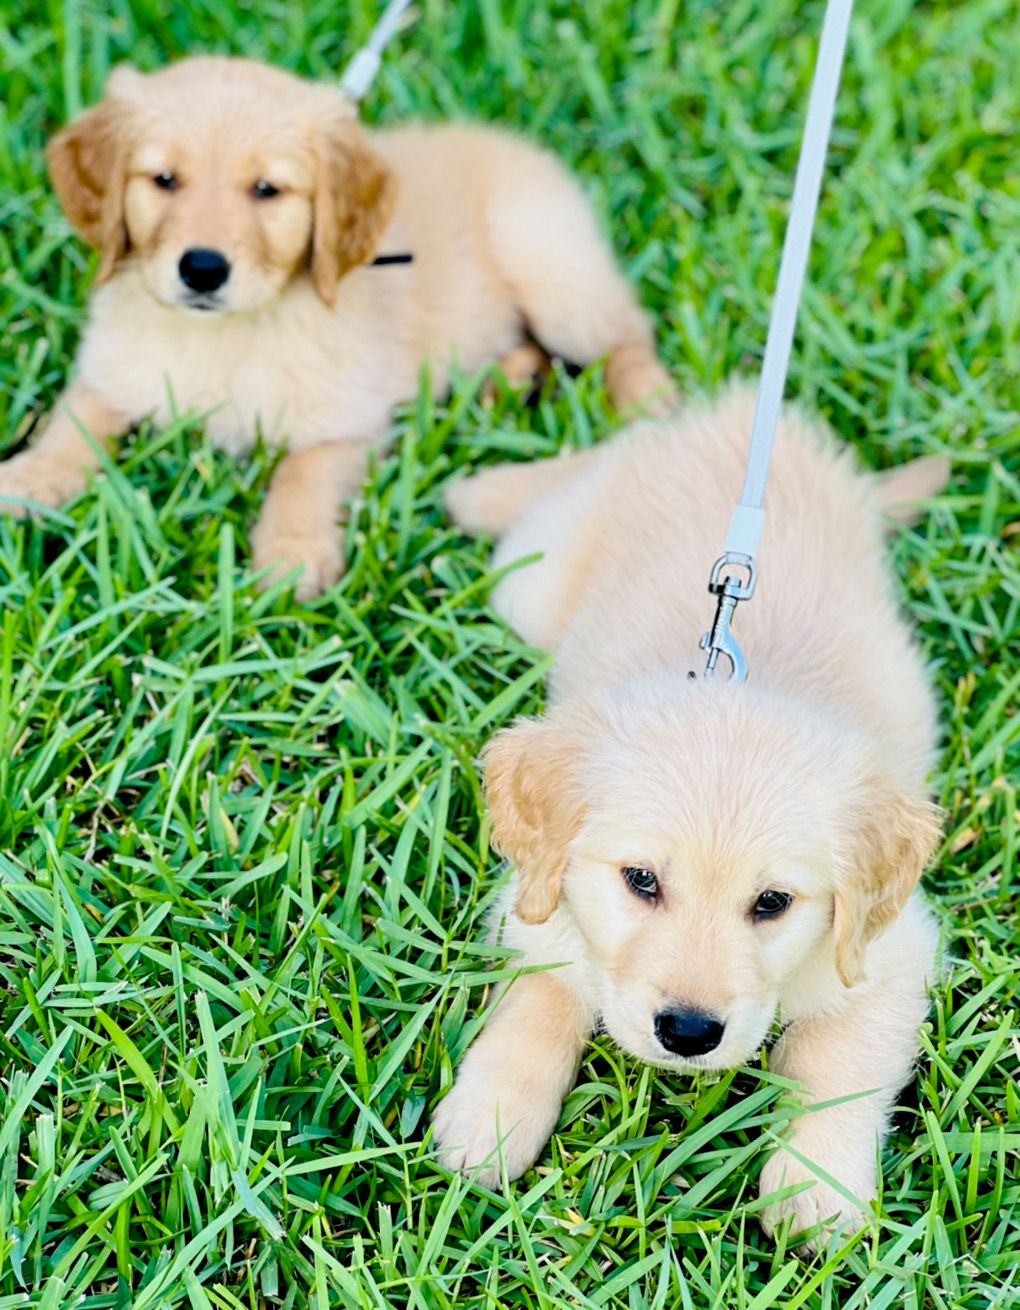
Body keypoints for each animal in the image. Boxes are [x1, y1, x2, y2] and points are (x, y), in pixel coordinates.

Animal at [0, 56, 675, 599]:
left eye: (267, 189)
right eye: (164, 179)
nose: (202, 269)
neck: (231, 333)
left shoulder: (350, 417)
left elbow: (304, 472)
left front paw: (292, 554)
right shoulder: (113, 369)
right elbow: (74, 422)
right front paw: (31, 478)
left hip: (551, 268)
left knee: (626, 331)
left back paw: (649, 399)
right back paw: (511, 380)